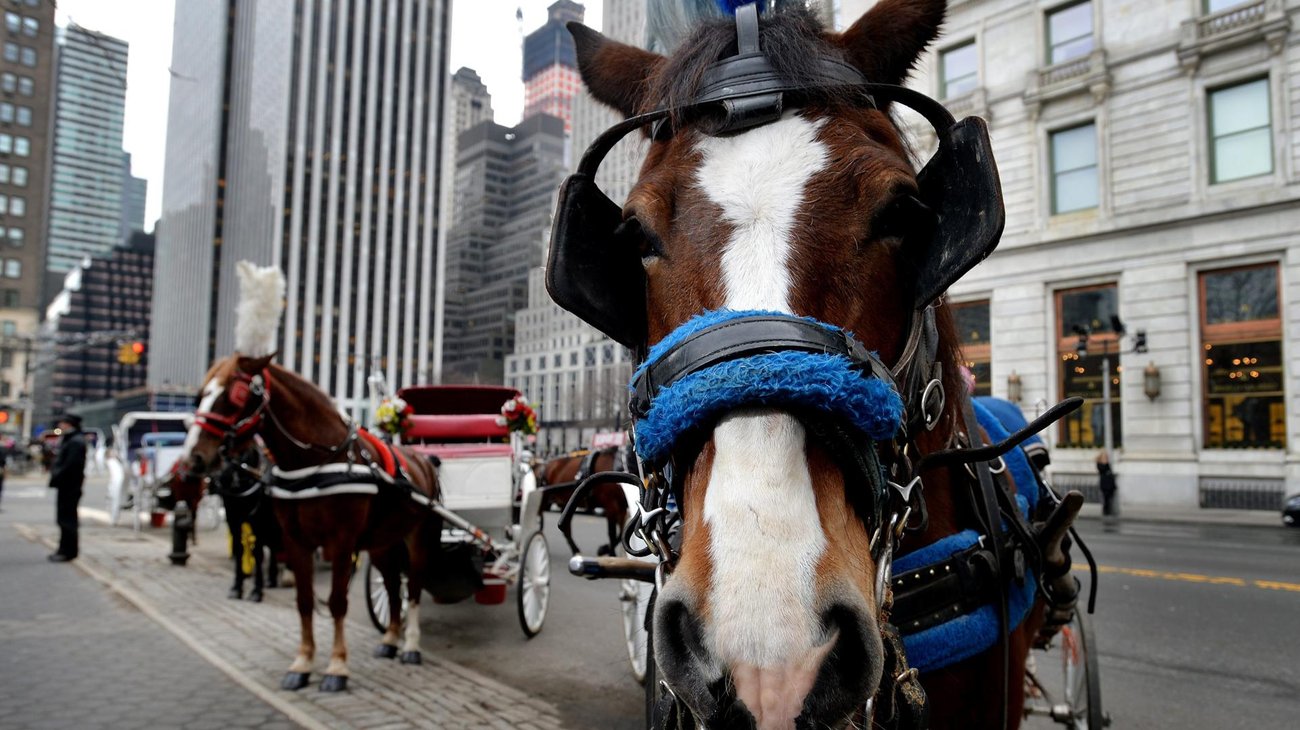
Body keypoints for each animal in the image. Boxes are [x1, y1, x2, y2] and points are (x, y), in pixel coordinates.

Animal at [180, 262, 446, 693]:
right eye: (201, 393)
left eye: (234, 396)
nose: (193, 459)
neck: (314, 461)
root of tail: (424, 460)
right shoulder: (297, 541)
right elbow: (305, 601)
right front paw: (302, 662)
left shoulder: (341, 542)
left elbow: (337, 601)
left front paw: (337, 667)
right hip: (382, 541)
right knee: (392, 584)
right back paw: (390, 639)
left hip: (418, 536)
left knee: (416, 586)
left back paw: (410, 645)